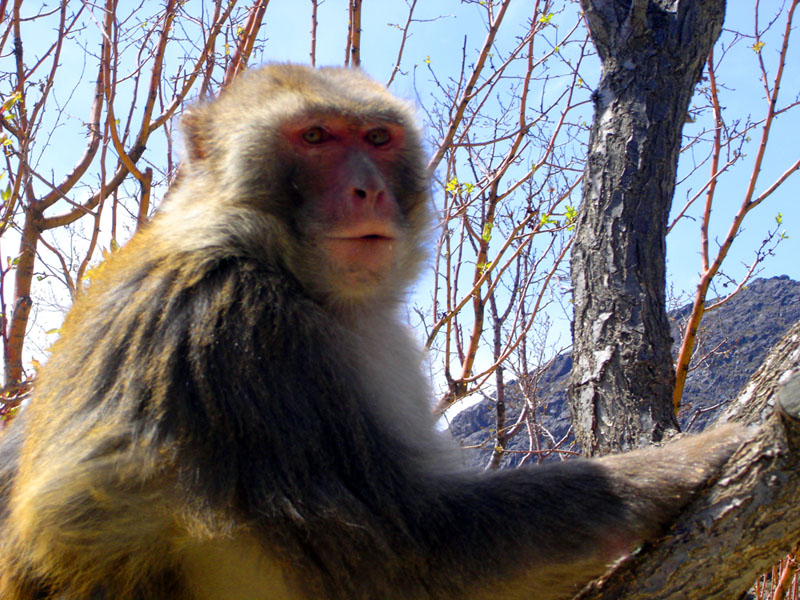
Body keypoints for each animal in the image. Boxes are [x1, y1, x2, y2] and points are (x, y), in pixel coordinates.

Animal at [0, 65, 752, 600]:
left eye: (376, 140)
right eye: (315, 138)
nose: (368, 189)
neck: (274, 260)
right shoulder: (236, 332)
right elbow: (401, 556)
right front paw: (683, 464)